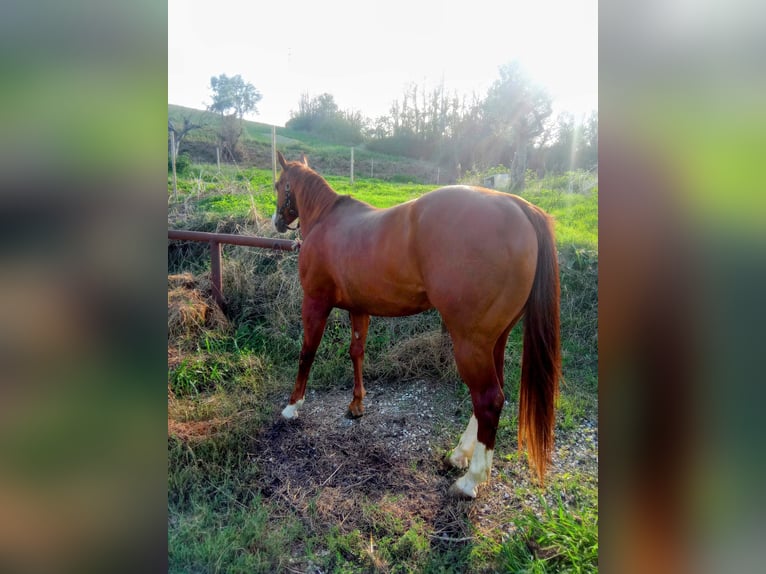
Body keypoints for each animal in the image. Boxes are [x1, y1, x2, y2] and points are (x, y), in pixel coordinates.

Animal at [272, 152, 561, 498]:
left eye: (278, 185)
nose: (277, 221)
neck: (327, 219)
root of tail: (518, 206)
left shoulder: (315, 303)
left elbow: (307, 352)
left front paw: (293, 406)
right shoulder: (359, 308)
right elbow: (357, 352)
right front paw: (356, 405)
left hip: (470, 343)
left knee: (489, 400)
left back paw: (470, 481)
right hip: (495, 340)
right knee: (492, 397)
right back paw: (460, 455)